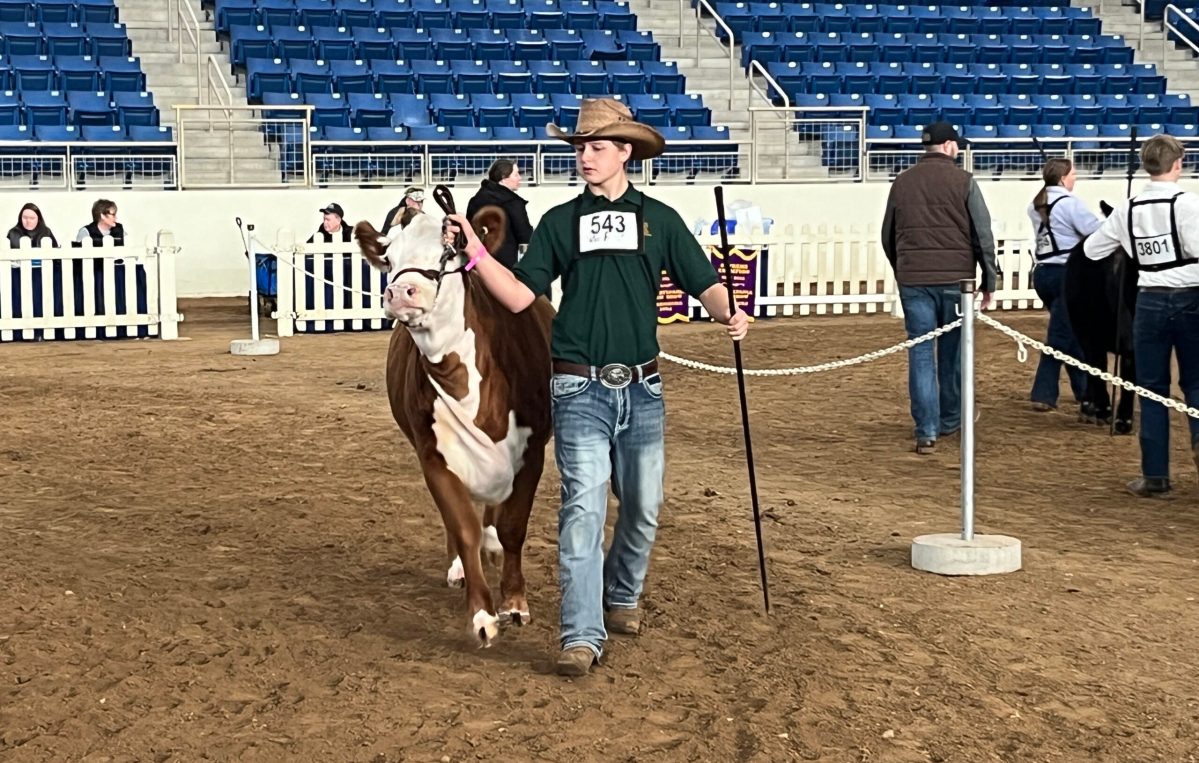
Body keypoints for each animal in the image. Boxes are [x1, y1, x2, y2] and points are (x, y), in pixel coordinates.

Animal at [352, 207, 553, 643]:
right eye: (388, 259)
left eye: (447, 253)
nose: (401, 292)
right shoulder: (432, 455)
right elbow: (463, 529)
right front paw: (481, 616)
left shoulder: (531, 452)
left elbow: (512, 526)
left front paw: (515, 603)